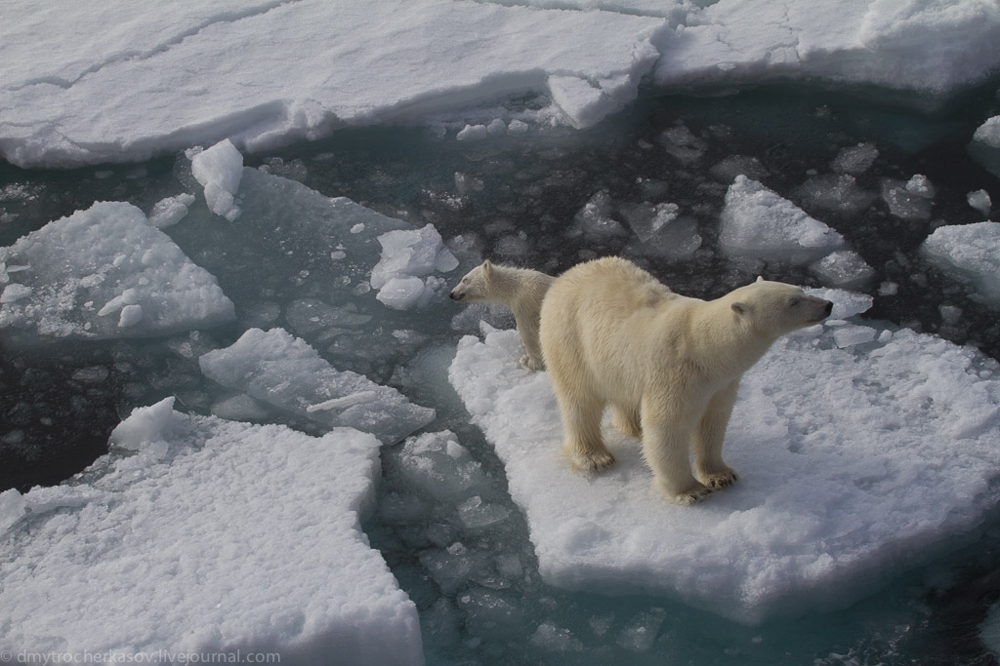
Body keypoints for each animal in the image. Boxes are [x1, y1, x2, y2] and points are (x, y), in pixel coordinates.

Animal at [544, 255, 832, 504]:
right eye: (792, 302)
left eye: (800, 290)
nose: (828, 305)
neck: (705, 348)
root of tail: (568, 274)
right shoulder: (676, 374)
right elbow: (667, 427)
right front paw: (690, 491)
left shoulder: (721, 384)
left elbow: (713, 423)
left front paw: (721, 475)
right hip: (571, 339)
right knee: (579, 400)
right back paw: (594, 457)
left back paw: (634, 428)